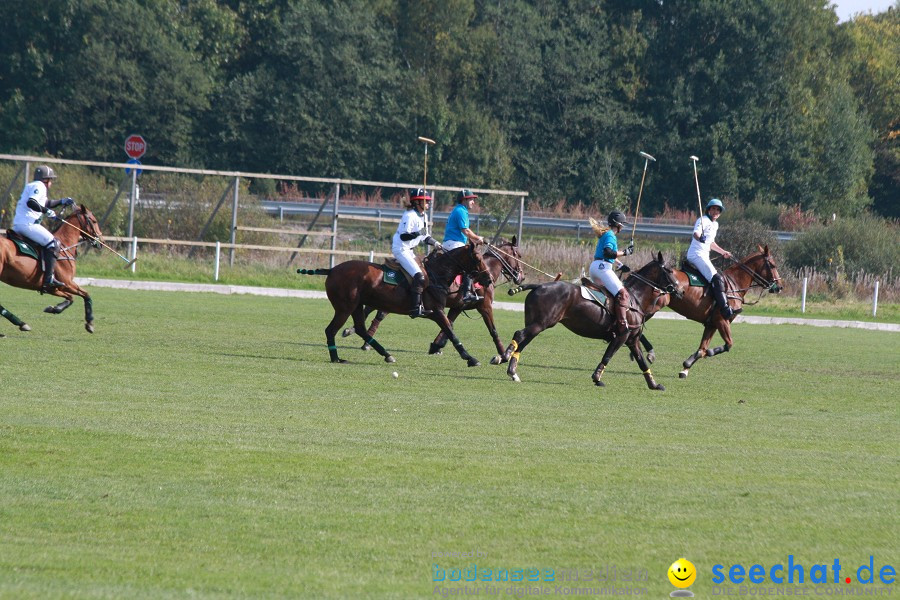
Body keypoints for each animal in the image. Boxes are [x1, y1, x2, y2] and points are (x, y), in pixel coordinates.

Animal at [0, 205, 102, 336]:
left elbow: (70, 298)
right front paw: (90, 323)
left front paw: (54, 308)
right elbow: (86, 294)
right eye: (94, 221)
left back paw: (21, 324)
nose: (101, 242)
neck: (65, 246)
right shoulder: (66, 283)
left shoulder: (53, 288)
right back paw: (21, 323)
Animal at [298, 243, 492, 366]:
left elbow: (449, 330)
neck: (438, 274)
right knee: (331, 330)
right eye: (477, 258)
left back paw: (387, 355)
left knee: (360, 328)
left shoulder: (439, 312)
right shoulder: (437, 311)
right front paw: (470, 358)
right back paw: (336, 358)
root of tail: (331, 270)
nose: (488, 278)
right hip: (344, 307)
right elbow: (451, 332)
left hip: (356, 306)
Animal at [342, 239, 528, 360]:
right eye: (518, 255)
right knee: (378, 314)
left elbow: (448, 325)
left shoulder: (457, 306)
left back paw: (353, 332)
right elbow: (493, 330)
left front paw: (436, 346)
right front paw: (503, 354)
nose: (522, 277)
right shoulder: (485, 306)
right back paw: (362, 338)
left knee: (371, 310)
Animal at [500, 252, 684, 390]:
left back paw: (513, 371)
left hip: (537, 323)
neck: (635, 298)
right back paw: (504, 357)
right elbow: (608, 356)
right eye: (669, 270)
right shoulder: (622, 335)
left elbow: (641, 361)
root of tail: (538, 286)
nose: (680, 291)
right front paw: (597, 378)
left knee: (523, 341)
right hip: (541, 323)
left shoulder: (632, 340)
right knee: (519, 334)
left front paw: (654, 384)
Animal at [664, 245, 784, 378]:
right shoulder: (722, 320)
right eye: (773, 265)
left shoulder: (711, 324)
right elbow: (728, 344)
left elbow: (702, 348)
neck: (735, 284)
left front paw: (685, 368)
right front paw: (705, 354)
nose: (779, 287)